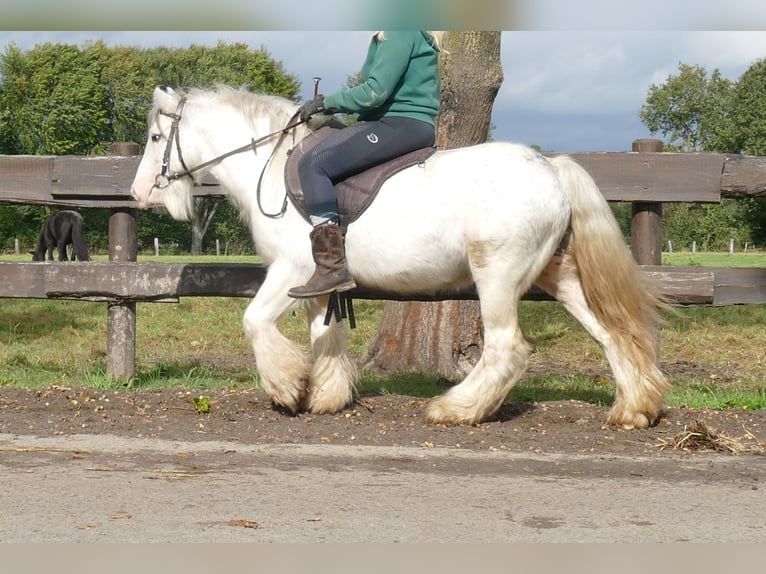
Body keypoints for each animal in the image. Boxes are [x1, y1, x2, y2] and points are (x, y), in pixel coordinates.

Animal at [132, 84, 672, 428]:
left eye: (156, 138)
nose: (139, 193)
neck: (271, 164)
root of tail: (551, 167)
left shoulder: (290, 270)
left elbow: (254, 322)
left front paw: (285, 387)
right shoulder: (315, 283)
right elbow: (325, 336)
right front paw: (325, 396)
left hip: (497, 277)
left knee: (507, 349)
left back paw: (456, 410)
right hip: (557, 276)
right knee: (611, 334)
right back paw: (635, 410)